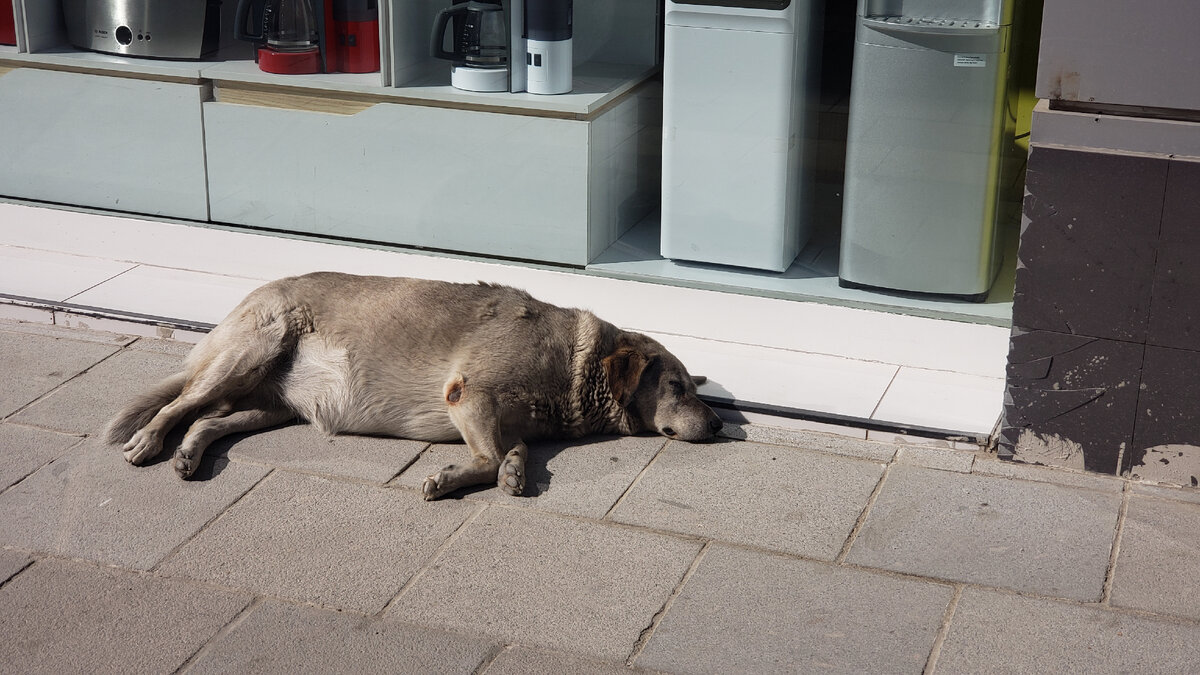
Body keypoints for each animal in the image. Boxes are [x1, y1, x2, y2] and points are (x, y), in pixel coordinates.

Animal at [105, 270, 720, 497]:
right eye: (677, 387)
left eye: (693, 387)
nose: (718, 424)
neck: (575, 365)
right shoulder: (470, 395)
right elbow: (488, 457)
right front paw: (454, 477)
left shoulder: (499, 417)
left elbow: (513, 449)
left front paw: (515, 469)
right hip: (253, 350)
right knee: (179, 405)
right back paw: (149, 441)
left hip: (273, 406)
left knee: (209, 420)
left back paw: (190, 454)